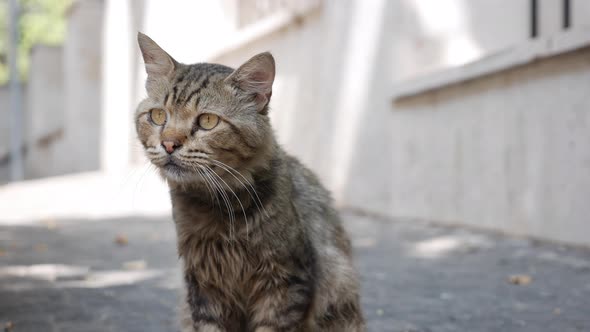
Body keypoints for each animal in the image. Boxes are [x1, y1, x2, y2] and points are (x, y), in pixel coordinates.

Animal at [136, 31, 366, 332]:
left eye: (207, 121)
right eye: (158, 116)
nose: (169, 144)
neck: (218, 211)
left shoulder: (285, 281)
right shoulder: (203, 286)